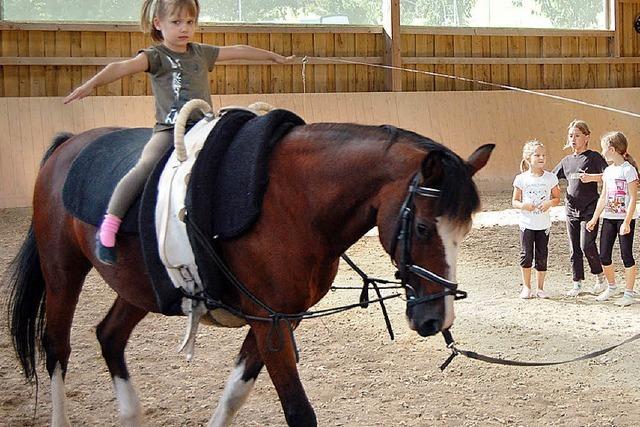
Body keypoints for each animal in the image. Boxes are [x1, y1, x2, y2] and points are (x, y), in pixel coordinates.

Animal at [5, 121, 492, 427]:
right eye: (424, 227)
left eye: (463, 230)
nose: (437, 319)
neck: (292, 201)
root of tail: (69, 144)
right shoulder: (269, 321)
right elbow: (299, 412)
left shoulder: (279, 319)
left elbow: (235, 393)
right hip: (62, 270)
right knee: (57, 347)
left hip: (141, 286)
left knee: (109, 336)